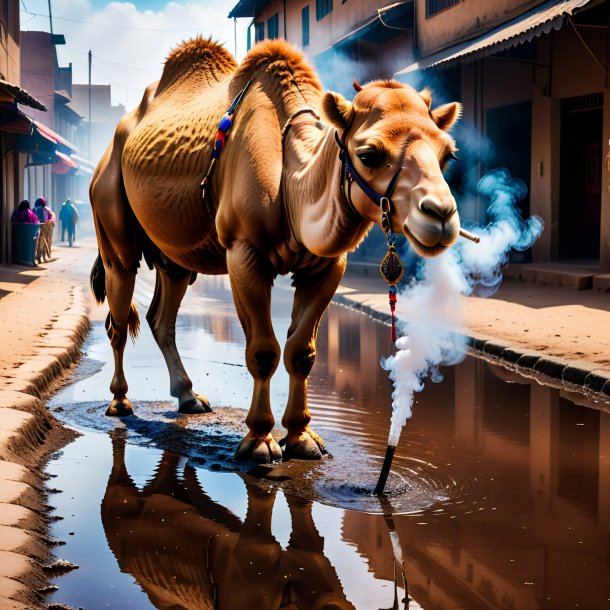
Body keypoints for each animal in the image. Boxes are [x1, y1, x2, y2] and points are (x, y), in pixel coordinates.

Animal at [89, 36, 460, 460]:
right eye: (369, 154)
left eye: (447, 155)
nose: (440, 214)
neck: (290, 180)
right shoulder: (243, 253)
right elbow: (263, 350)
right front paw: (259, 441)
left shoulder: (327, 265)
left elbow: (302, 351)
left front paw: (302, 438)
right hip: (109, 204)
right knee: (119, 304)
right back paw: (120, 402)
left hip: (174, 252)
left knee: (162, 313)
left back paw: (189, 397)